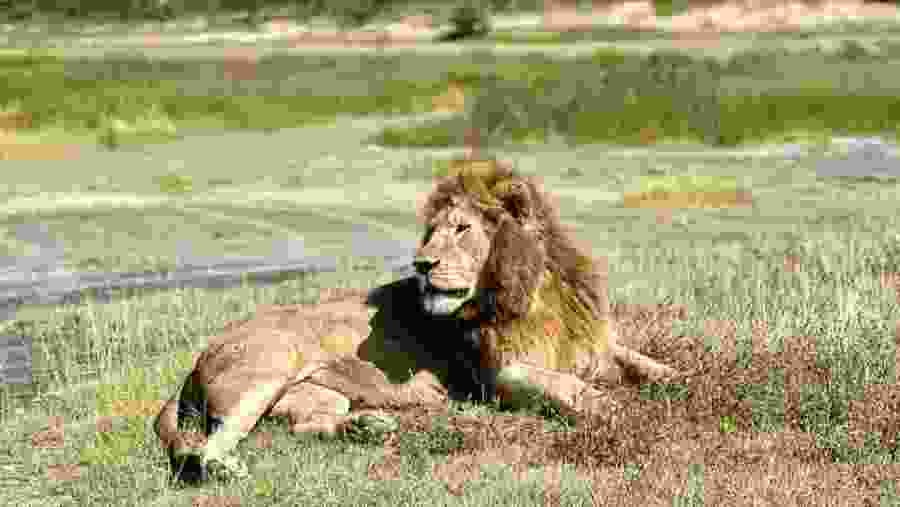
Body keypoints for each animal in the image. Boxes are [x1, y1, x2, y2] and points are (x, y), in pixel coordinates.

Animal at [154, 157, 677, 484]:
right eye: (432, 233)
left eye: (462, 229)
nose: (422, 264)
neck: (533, 293)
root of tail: (199, 356)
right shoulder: (496, 375)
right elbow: (567, 387)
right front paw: (615, 409)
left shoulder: (595, 346)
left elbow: (650, 366)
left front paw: (683, 383)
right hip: (266, 371)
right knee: (207, 445)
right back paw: (225, 469)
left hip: (313, 397)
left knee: (305, 427)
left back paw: (365, 428)